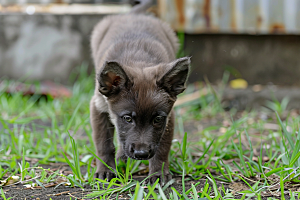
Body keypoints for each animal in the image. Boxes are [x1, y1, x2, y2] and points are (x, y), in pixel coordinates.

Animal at [90, 0, 191, 184]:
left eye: (157, 119)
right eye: (128, 118)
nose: (141, 154)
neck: (138, 61)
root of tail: (134, 15)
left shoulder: (169, 117)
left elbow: (162, 147)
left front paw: (158, 173)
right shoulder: (98, 107)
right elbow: (104, 144)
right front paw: (106, 170)